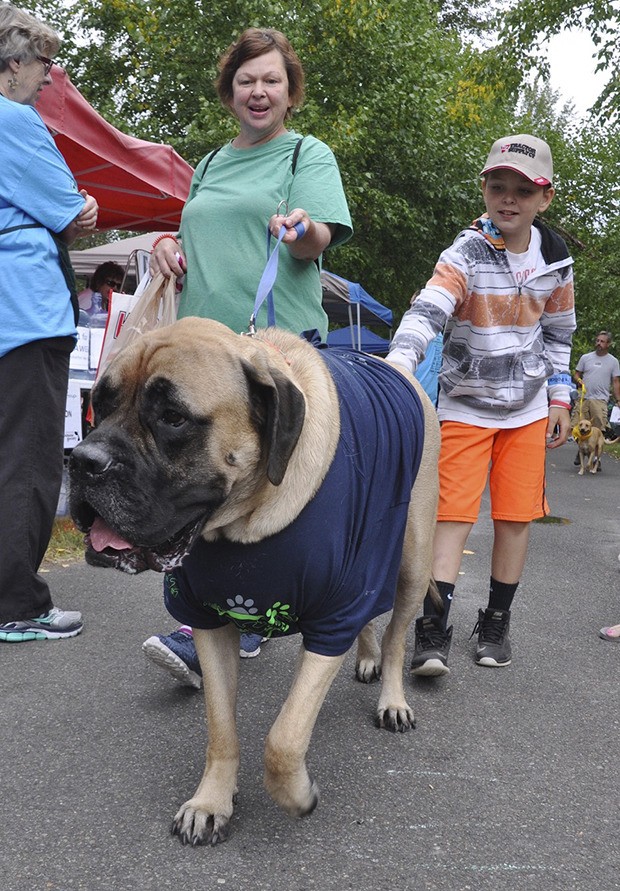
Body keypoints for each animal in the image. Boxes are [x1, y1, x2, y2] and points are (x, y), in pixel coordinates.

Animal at [69, 318, 440, 846]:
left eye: (173, 418)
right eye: (99, 404)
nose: (82, 461)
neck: (246, 520)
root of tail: (398, 367)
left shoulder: (330, 620)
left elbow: (284, 737)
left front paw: (297, 795)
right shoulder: (206, 619)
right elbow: (221, 728)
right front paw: (211, 802)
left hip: (413, 558)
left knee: (394, 634)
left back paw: (391, 696)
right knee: (371, 615)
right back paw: (367, 658)